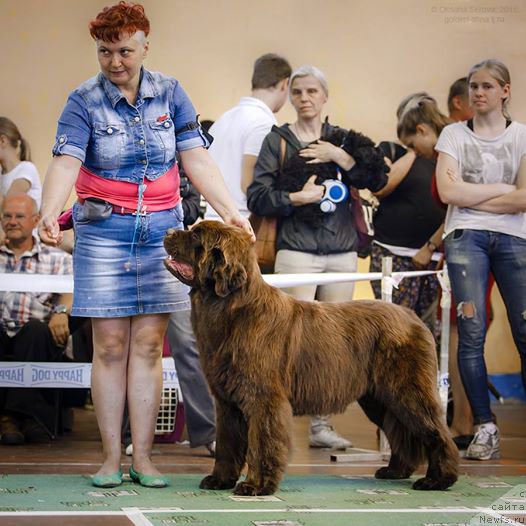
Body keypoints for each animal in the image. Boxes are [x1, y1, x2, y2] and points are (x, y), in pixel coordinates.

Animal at [164, 221, 458, 498]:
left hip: (407, 392)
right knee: (401, 431)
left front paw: (255, 486)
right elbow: (227, 443)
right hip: (379, 399)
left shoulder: (263, 399)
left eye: (195, 236)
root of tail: (412, 317)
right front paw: (220, 480)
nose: (167, 232)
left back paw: (438, 480)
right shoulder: (227, 403)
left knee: (435, 432)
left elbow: (262, 443)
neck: (230, 308)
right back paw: (395, 470)